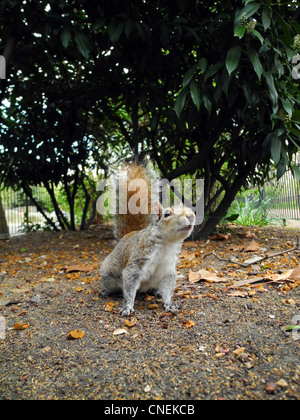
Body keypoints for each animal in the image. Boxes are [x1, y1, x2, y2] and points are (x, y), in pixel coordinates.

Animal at [99, 163, 196, 316]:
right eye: (167, 214)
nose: (191, 216)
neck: (167, 244)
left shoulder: (168, 269)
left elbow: (168, 289)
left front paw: (169, 304)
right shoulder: (138, 261)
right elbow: (129, 287)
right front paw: (127, 306)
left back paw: (156, 292)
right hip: (108, 275)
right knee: (113, 287)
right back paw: (106, 291)